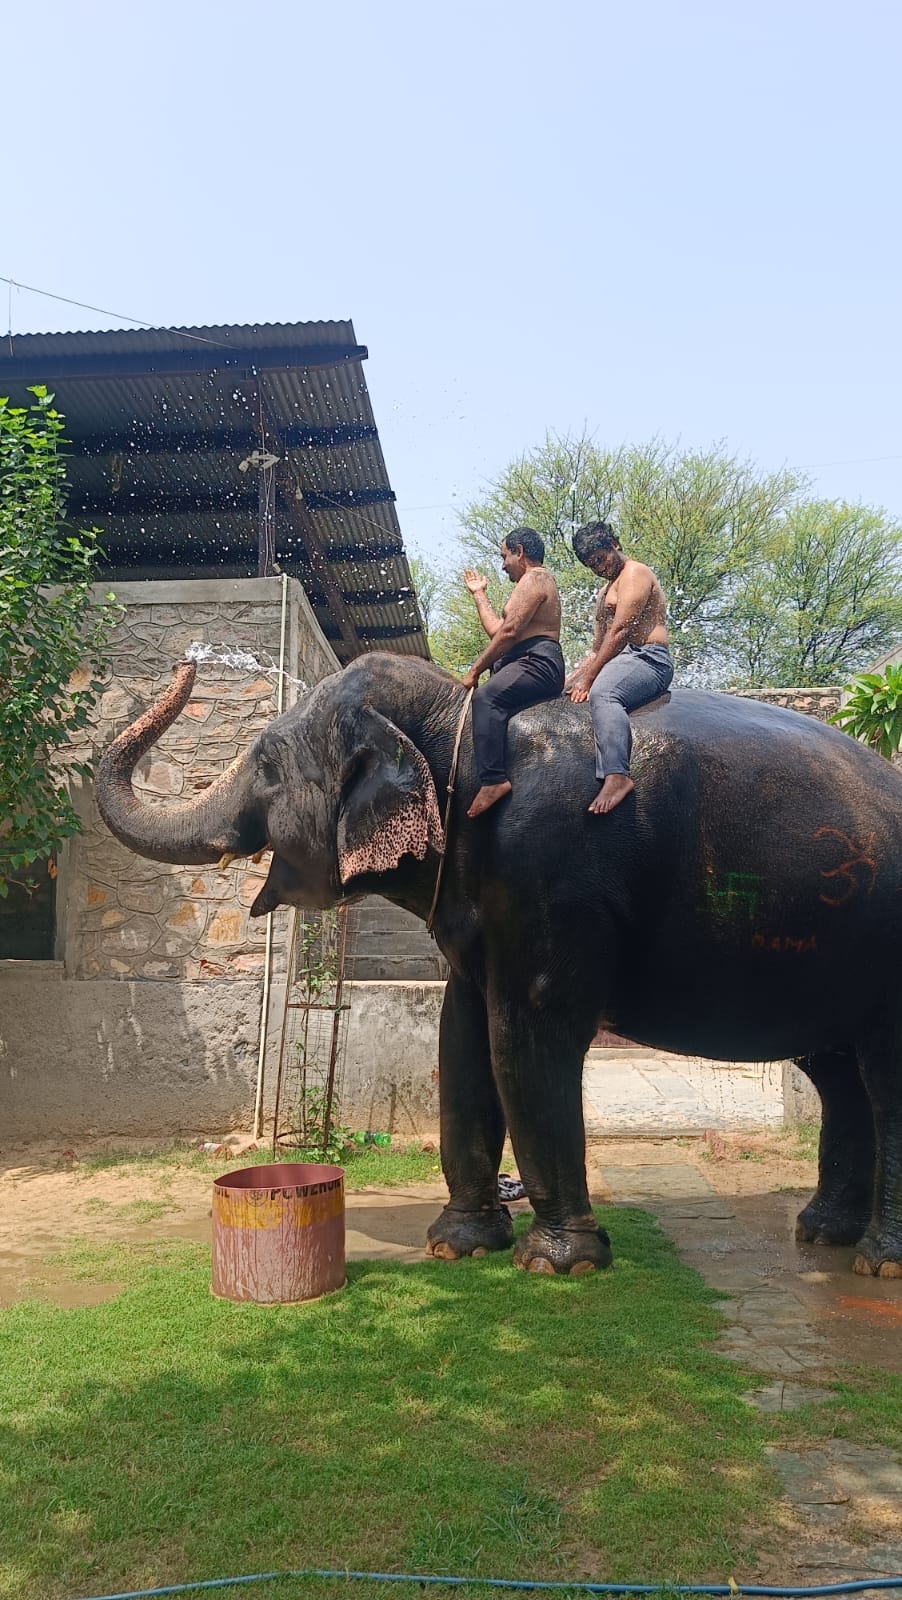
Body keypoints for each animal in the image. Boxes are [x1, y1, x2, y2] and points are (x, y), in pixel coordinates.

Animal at [95, 652, 902, 1278]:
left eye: (264, 764)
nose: (186, 666)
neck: (457, 718)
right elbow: (460, 1036)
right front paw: (459, 1246)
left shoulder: (549, 871)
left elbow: (528, 1033)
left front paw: (558, 1263)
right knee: (840, 1077)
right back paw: (823, 1234)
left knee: (877, 1078)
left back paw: (878, 1261)